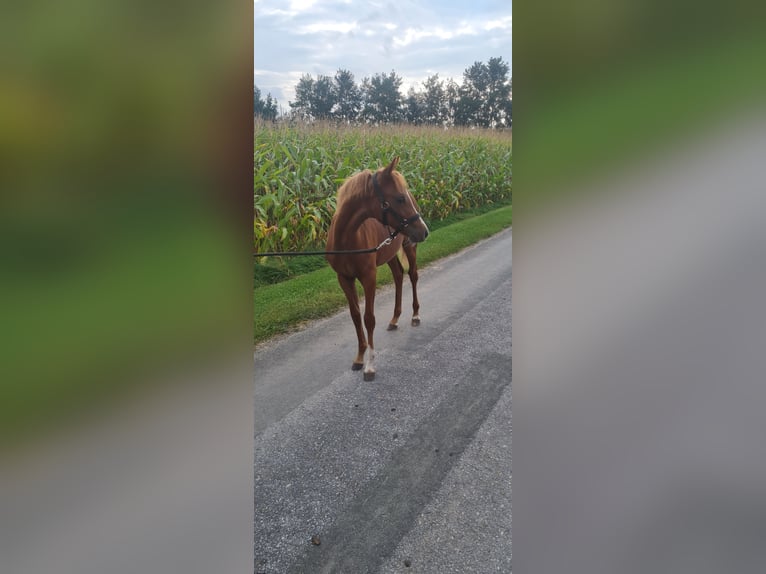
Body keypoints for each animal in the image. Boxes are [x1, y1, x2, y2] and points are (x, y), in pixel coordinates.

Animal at [326, 158, 428, 382]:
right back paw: (395, 319)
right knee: (398, 276)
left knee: (413, 276)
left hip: (409, 246)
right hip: (389, 254)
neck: (347, 240)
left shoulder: (368, 277)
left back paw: (415, 316)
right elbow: (356, 316)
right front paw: (359, 358)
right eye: (399, 198)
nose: (424, 231)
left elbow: (369, 318)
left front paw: (370, 366)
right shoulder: (344, 278)